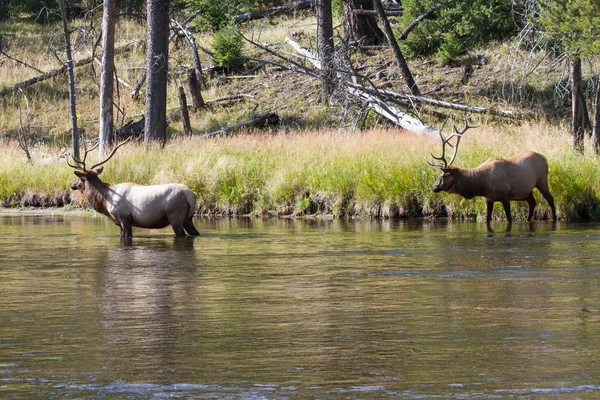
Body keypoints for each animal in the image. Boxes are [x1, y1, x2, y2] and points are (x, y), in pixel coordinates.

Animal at [67, 140, 200, 238]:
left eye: (80, 178)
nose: (71, 184)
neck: (106, 200)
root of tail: (192, 195)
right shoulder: (120, 222)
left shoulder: (124, 218)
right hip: (188, 218)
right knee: (195, 233)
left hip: (175, 216)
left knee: (181, 234)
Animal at [428, 122, 556, 225]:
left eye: (443, 176)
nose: (433, 187)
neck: (481, 184)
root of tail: (545, 159)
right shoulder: (489, 199)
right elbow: (487, 219)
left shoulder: (505, 196)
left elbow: (509, 219)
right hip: (526, 191)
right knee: (532, 203)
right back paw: (528, 220)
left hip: (542, 181)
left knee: (550, 199)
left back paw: (554, 218)